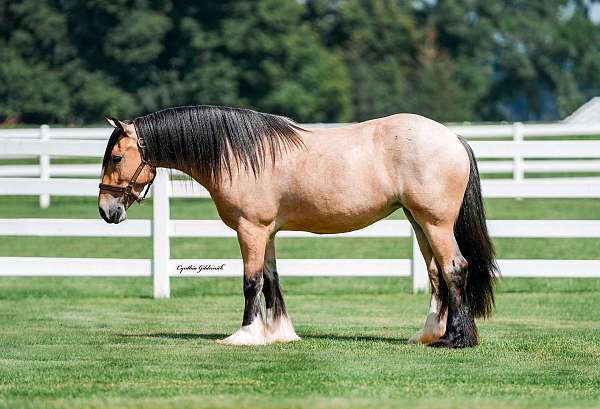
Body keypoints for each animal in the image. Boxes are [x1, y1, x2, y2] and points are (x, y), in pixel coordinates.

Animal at [98, 103, 496, 346]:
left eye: (116, 157)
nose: (106, 210)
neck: (238, 154)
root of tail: (454, 138)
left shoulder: (251, 229)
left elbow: (252, 282)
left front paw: (245, 335)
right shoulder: (267, 232)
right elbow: (272, 280)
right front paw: (279, 333)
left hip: (435, 222)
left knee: (454, 268)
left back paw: (455, 339)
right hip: (419, 222)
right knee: (436, 274)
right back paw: (428, 334)